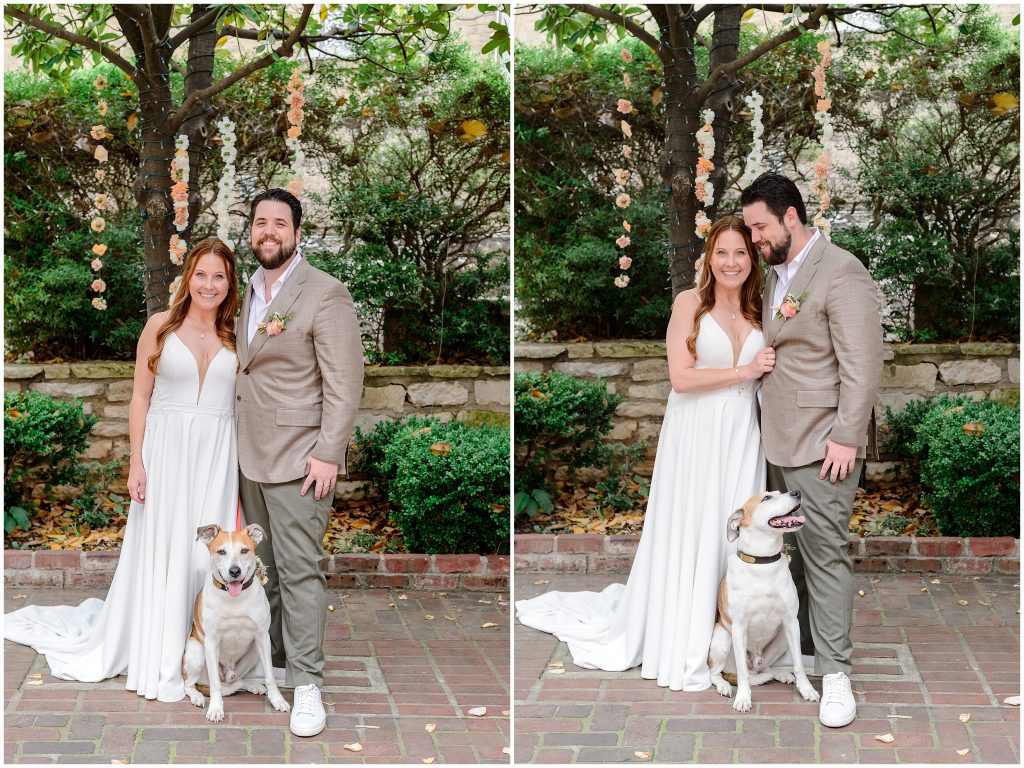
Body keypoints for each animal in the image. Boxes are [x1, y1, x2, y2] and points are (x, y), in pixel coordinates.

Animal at [181, 524, 288, 720]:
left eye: (244, 550)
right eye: (221, 551)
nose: (234, 571)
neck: (234, 599)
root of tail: (227, 672)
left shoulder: (262, 637)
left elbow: (269, 675)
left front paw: (277, 700)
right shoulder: (211, 641)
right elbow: (215, 684)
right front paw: (216, 708)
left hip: (253, 652)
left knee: (237, 681)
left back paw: (253, 685)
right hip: (196, 653)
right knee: (190, 684)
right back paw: (197, 697)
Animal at [708, 493, 819, 716]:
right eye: (767, 497)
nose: (796, 492)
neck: (763, 562)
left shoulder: (791, 621)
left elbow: (799, 664)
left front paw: (806, 689)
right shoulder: (739, 627)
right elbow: (742, 674)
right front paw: (743, 698)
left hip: (783, 638)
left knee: (762, 669)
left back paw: (781, 674)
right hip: (722, 639)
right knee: (718, 673)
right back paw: (724, 685)